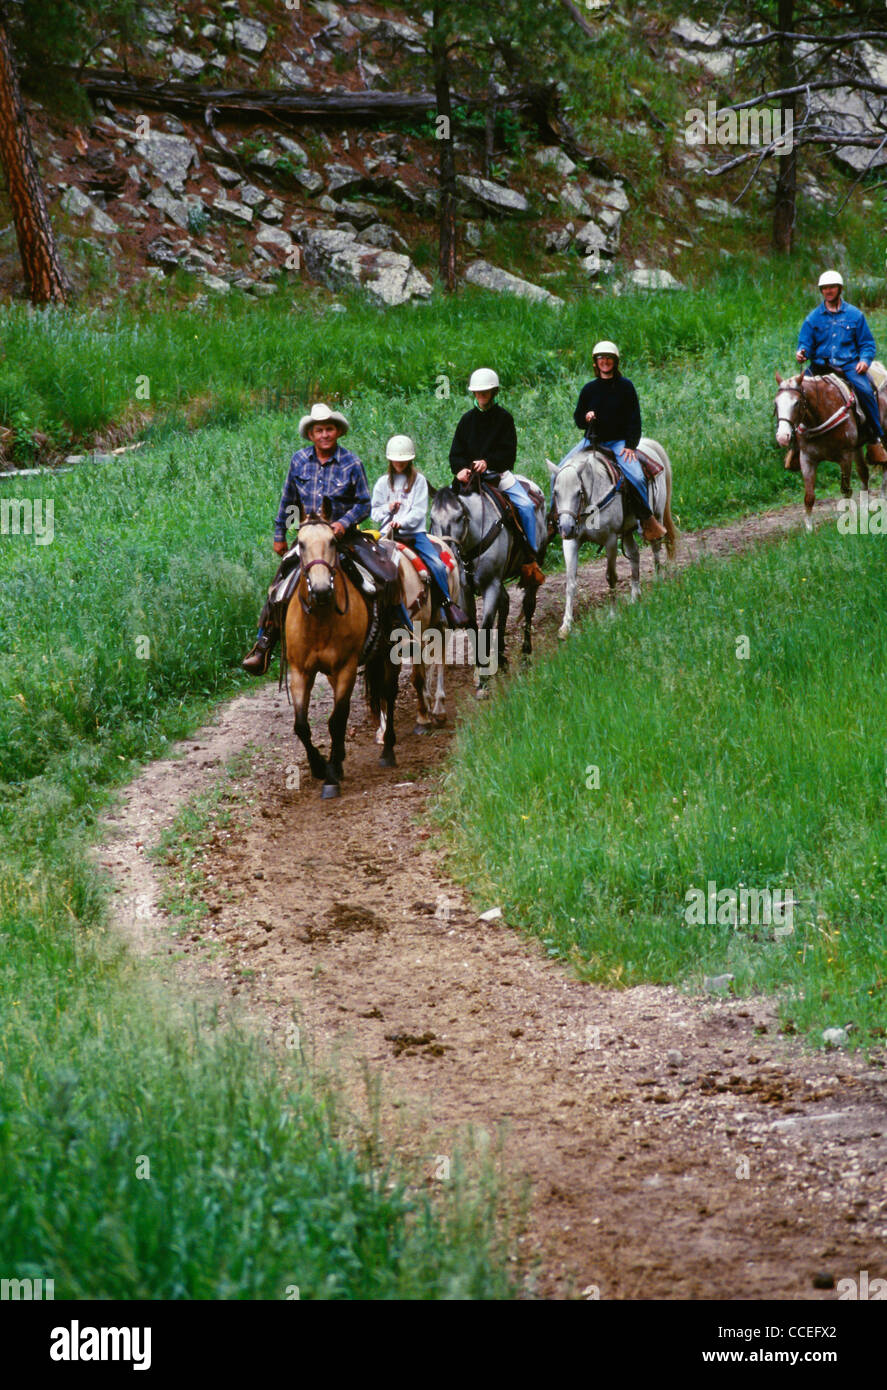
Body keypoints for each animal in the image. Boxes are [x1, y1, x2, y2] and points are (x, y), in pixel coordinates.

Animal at [286, 508, 400, 795]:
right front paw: (319, 766)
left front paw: (331, 777)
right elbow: (301, 725)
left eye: (332, 542)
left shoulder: (346, 667)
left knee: (388, 693)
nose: (321, 590)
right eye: (301, 544)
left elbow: (337, 721)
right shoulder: (300, 671)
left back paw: (388, 751)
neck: (320, 620)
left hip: (389, 650)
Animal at [544, 433, 678, 639]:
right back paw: (635, 595)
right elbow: (571, 582)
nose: (565, 528)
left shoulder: (610, 540)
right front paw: (566, 625)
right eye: (556, 493)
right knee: (635, 554)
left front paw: (613, 615)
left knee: (656, 547)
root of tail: (649, 445)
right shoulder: (571, 542)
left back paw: (658, 584)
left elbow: (611, 576)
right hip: (628, 530)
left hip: (656, 515)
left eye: (578, 492)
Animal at [772, 366, 887, 528]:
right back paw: (865, 509)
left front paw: (849, 519)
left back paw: (882, 500)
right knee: (864, 473)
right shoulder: (807, 459)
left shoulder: (845, 457)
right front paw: (809, 528)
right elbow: (809, 496)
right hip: (857, 448)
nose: (782, 437)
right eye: (776, 404)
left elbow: (846, 490)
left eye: (797, 403)